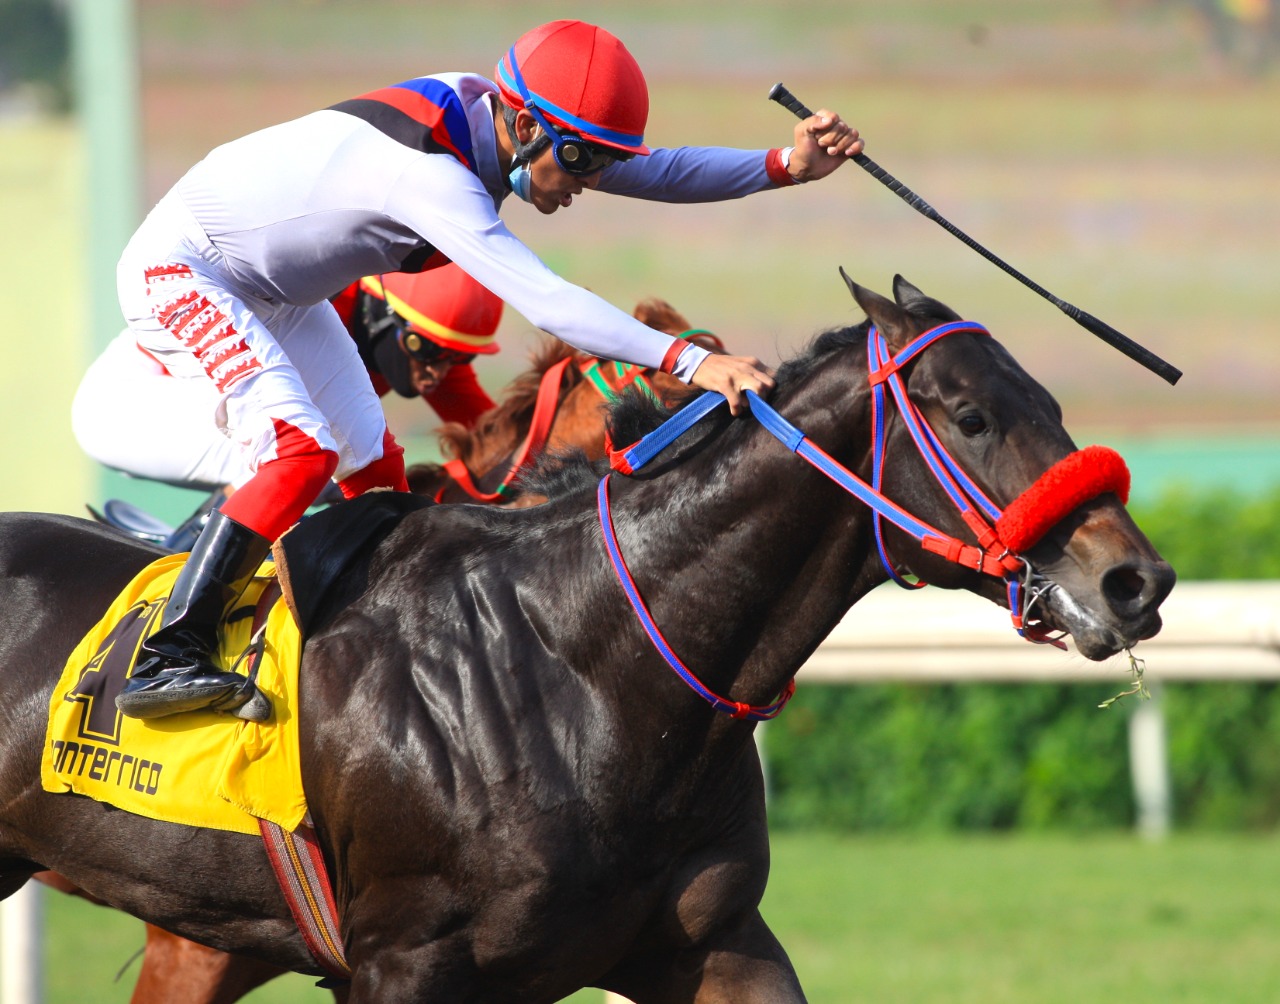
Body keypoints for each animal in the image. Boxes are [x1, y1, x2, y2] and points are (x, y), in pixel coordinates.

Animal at [0, 274, 1174, 1002]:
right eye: (971, 416)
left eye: (1050, 399)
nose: (1136, 579)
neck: (578, 664)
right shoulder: (392, 960)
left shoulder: (709, 941)